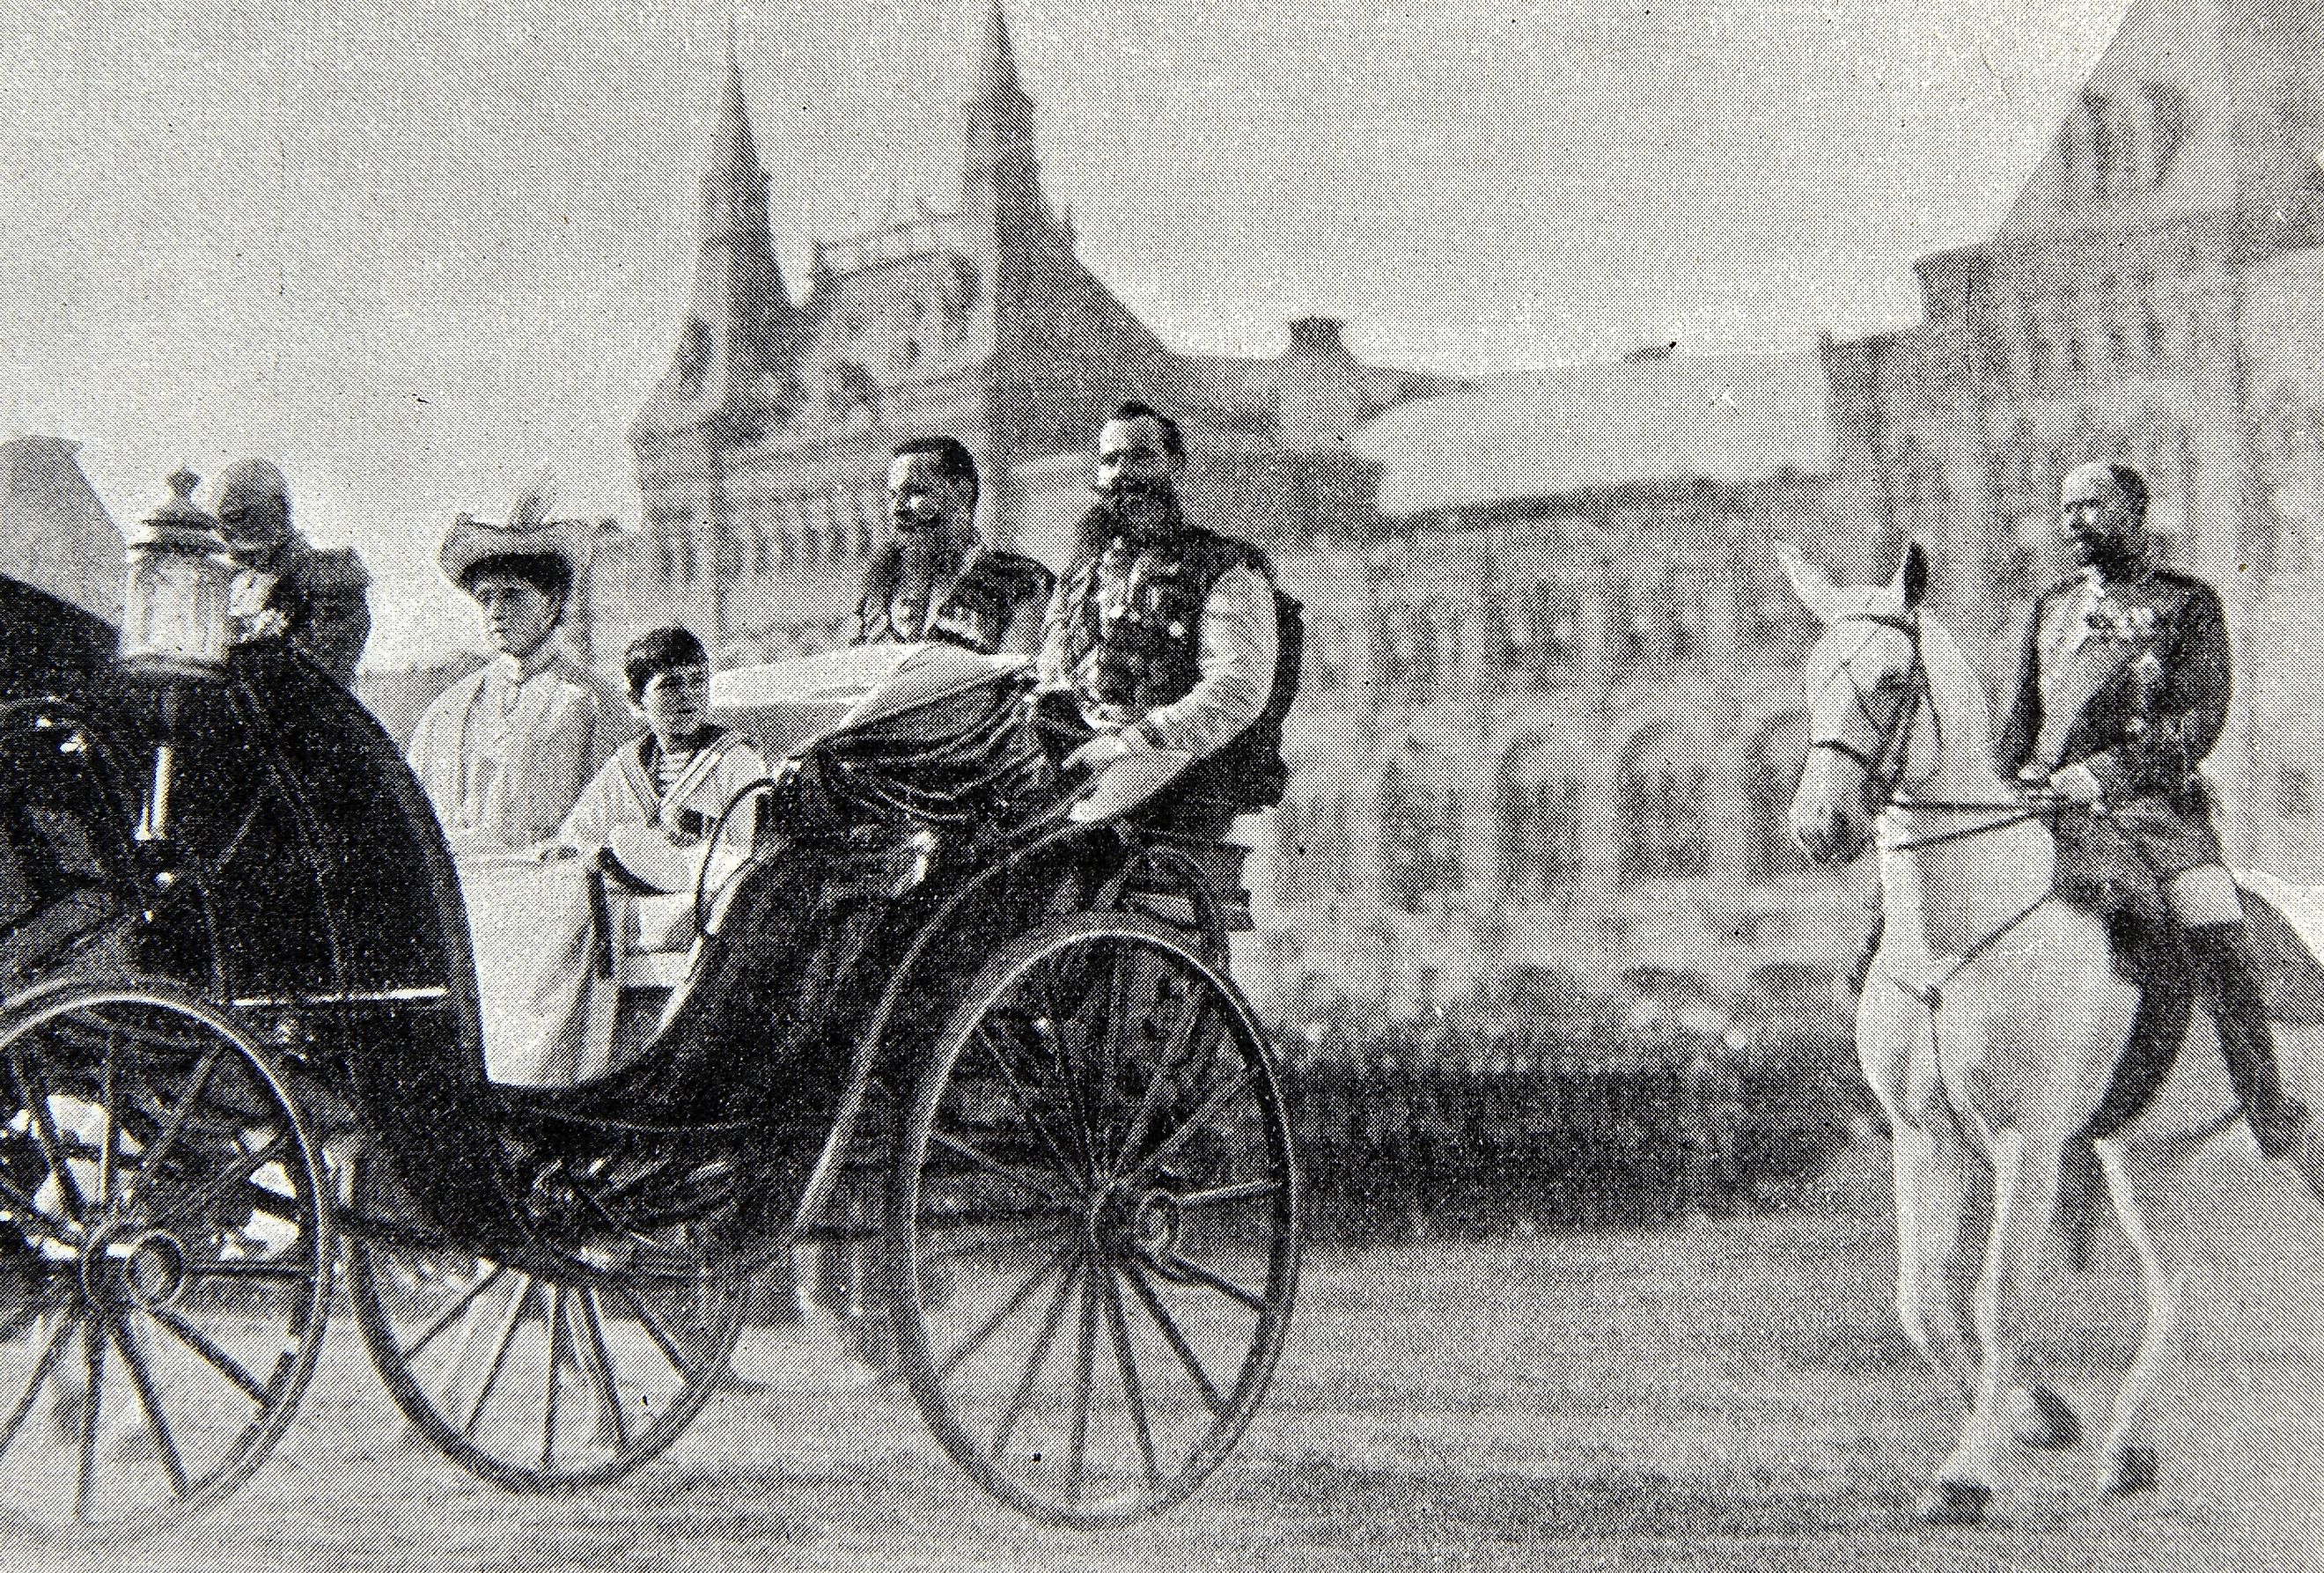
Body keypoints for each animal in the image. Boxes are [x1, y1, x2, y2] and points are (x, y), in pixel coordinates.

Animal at [1775, 539, 2324, 1524]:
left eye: (1889, 678)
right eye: (1810, 676)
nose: (1817, 826)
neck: (1958, 931)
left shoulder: (2027, 1139)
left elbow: (2000, 1293)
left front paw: (1969, 1470)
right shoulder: (1924, 1135)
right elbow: (1922, 1299)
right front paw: (2037, 1415)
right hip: (2148, 1154)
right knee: (2174, 1290)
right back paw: (2128, 1449)